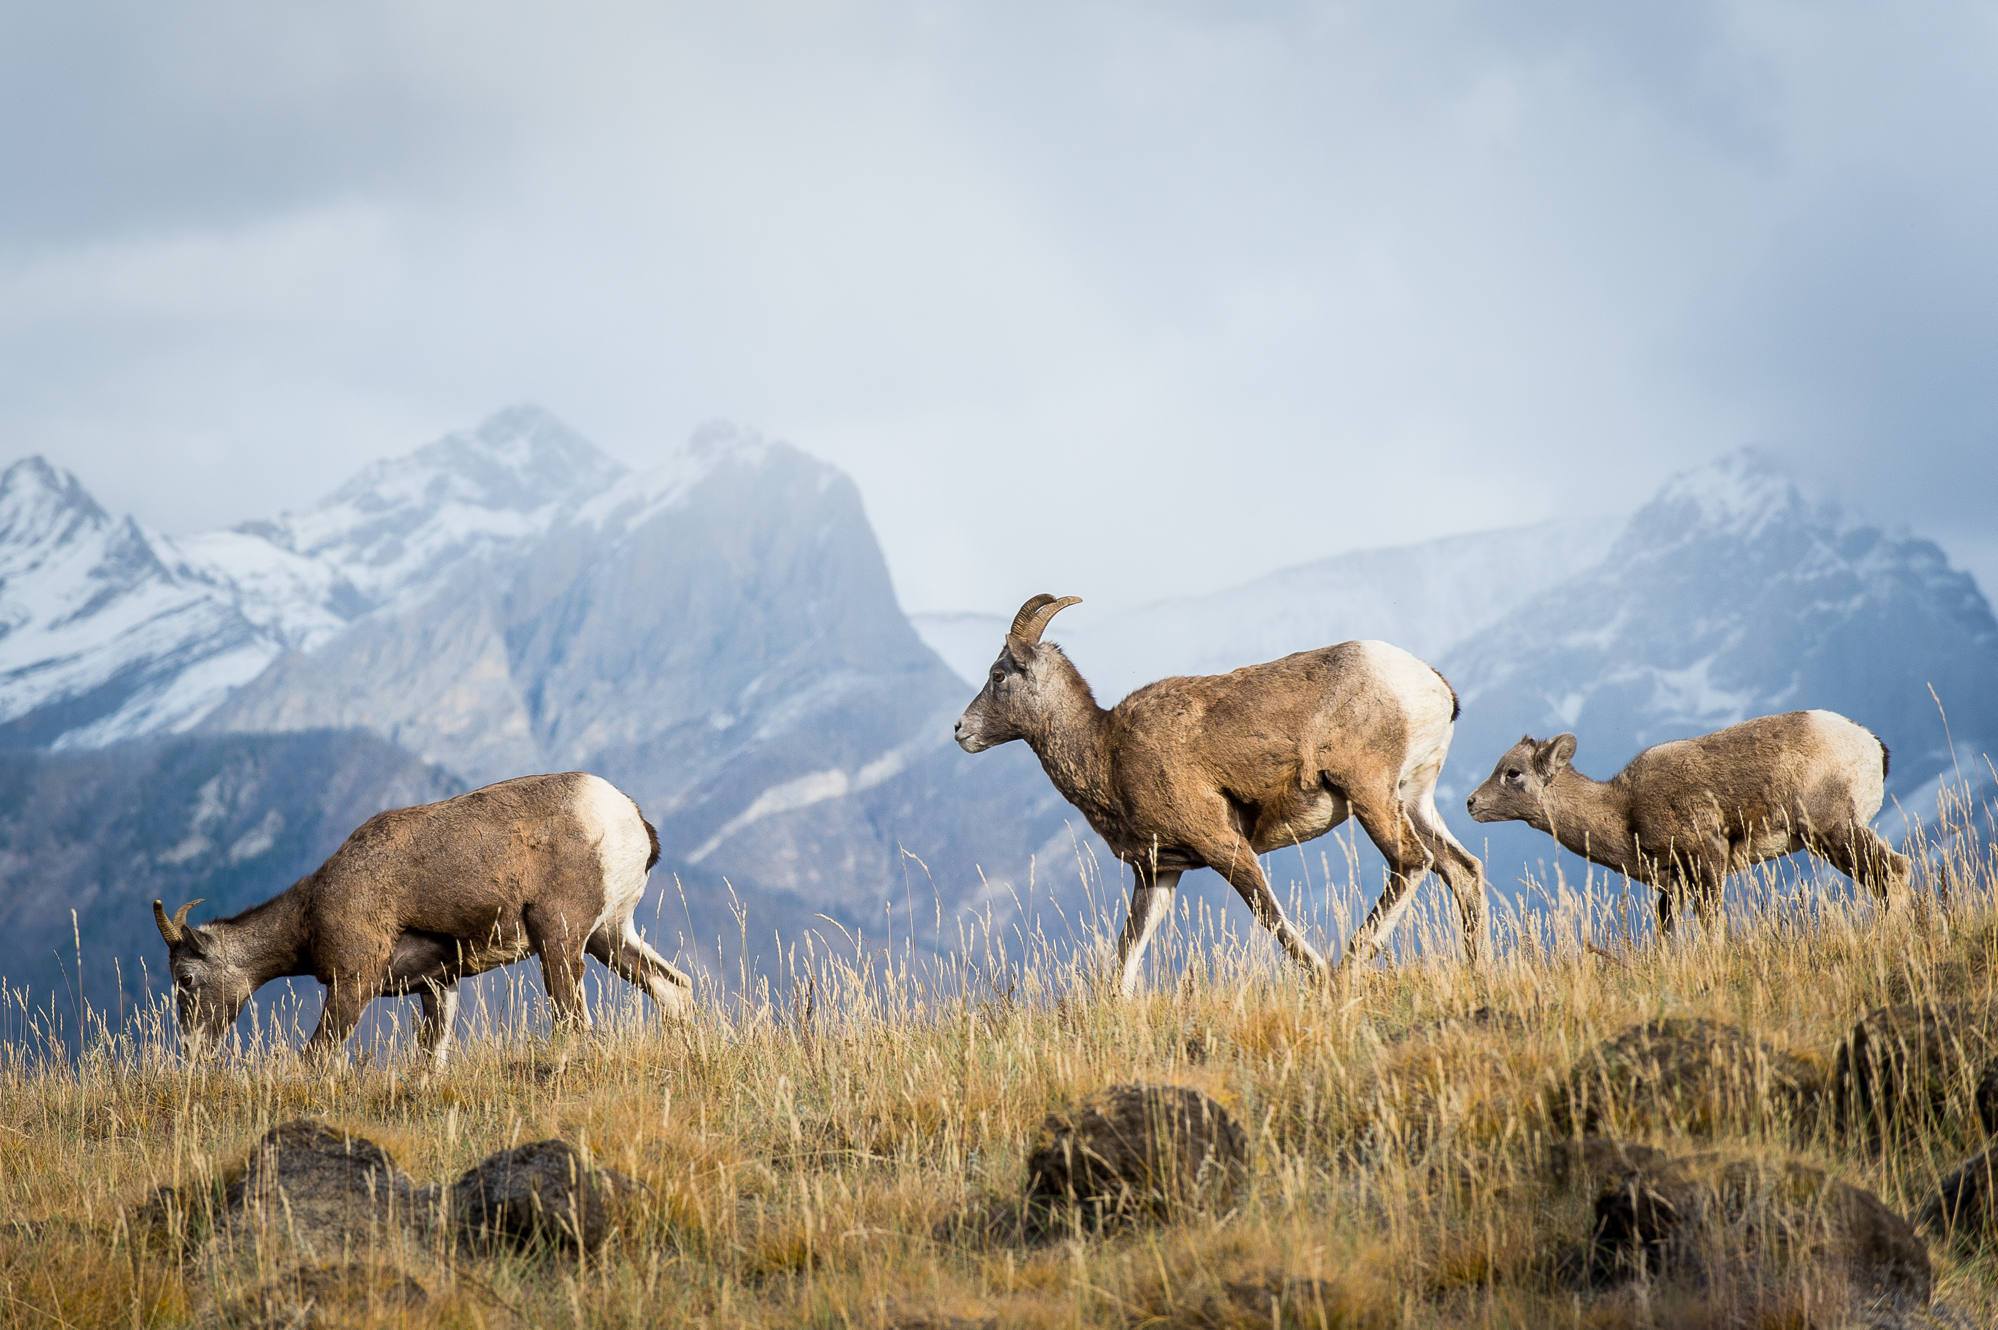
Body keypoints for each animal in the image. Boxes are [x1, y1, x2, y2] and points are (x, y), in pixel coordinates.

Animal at [153, 771, 693, 1065]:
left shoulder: (352, 983)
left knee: (574, 1019)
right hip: (608, 935)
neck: (311, 913)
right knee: (674, 987)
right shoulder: (437, 986)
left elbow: (316, 1057)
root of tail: (631, 820)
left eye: (187, 978)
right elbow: (431, 1060)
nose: (193, 1050)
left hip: (558, 937)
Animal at [954, 594, 1487, 993]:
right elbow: (1127, 953)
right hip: (1413, 799)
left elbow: (1272, 918)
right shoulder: (1157, 873)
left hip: (1369, 794)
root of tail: (1433, 686)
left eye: (998, 675)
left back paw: (1348, 965)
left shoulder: (1224, 847)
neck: (1106, 751)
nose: (960, 730)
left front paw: (1321, 978)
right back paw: (1475, 970)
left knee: (1411, 862)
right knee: (1461, 870)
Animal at [1464, 710, 1913, 934]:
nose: (1471, 804)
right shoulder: (1674, 885)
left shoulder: (1707, 862)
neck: (1624, 810)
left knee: (1894, 870)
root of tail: (1873, 746)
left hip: (1835, 831)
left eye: (1513, 773)